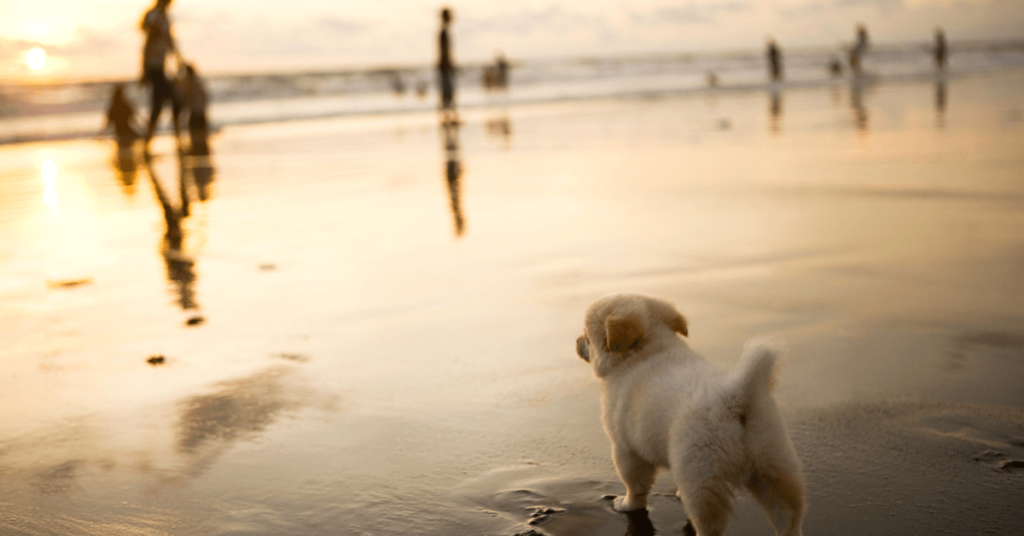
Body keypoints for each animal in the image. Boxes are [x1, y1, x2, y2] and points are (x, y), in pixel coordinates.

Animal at [577, 293, 806, 536]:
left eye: (587, 338)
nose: (576, 342)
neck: (649, 350)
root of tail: (735, 395)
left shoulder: (626, 449)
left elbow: (635, 485)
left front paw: (626, 504)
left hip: (702, 477)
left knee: (709, 525)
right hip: (774, 466)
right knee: (788, 516)